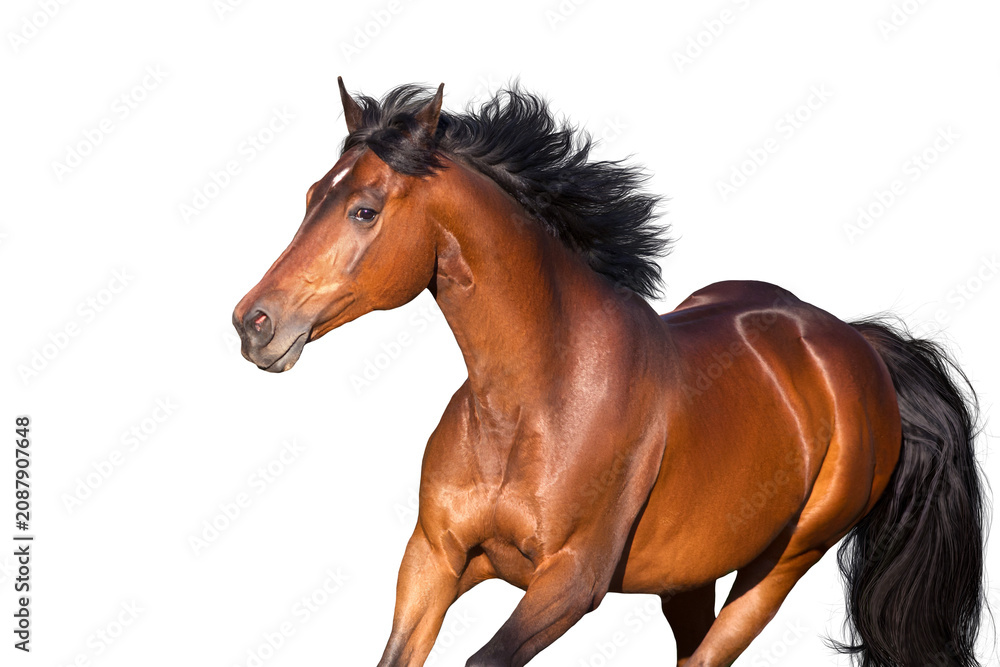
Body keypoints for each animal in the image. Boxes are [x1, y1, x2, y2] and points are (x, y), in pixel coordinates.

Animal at [232, 79, 987, 667]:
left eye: (364, 210)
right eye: (310, 195)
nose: (253, 323)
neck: (538, 397)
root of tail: (854, 345)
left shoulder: (571, 580)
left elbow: (485, 657)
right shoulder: (437, 558)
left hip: (784, 562)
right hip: (688, 575)